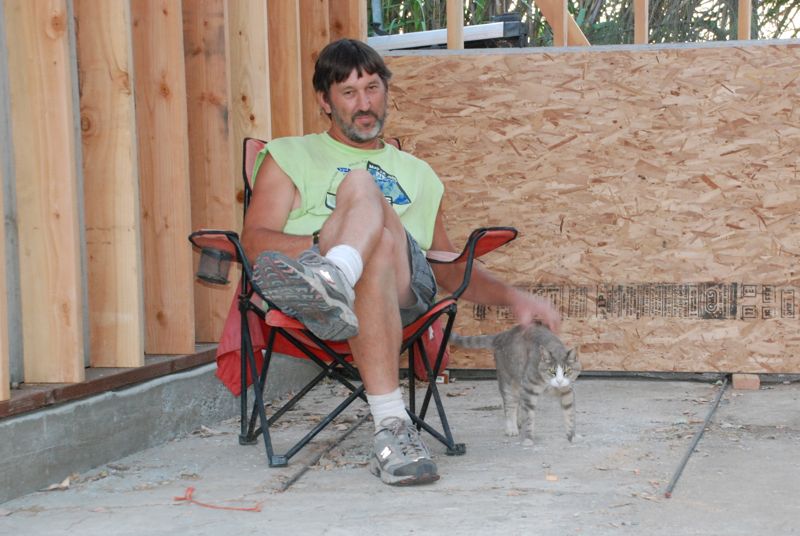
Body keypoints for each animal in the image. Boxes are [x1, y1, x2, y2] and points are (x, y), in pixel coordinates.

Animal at [450, 324, 580, 445]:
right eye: (551, 371)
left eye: (567, 371)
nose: (559, 380)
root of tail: (502, 335)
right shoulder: (529, 390)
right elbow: (529, 417)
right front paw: (528, 439)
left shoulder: (567, 392)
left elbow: (569, 415)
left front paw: (571, 435)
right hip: (508, 382)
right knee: (510, 406)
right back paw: (511, 428)